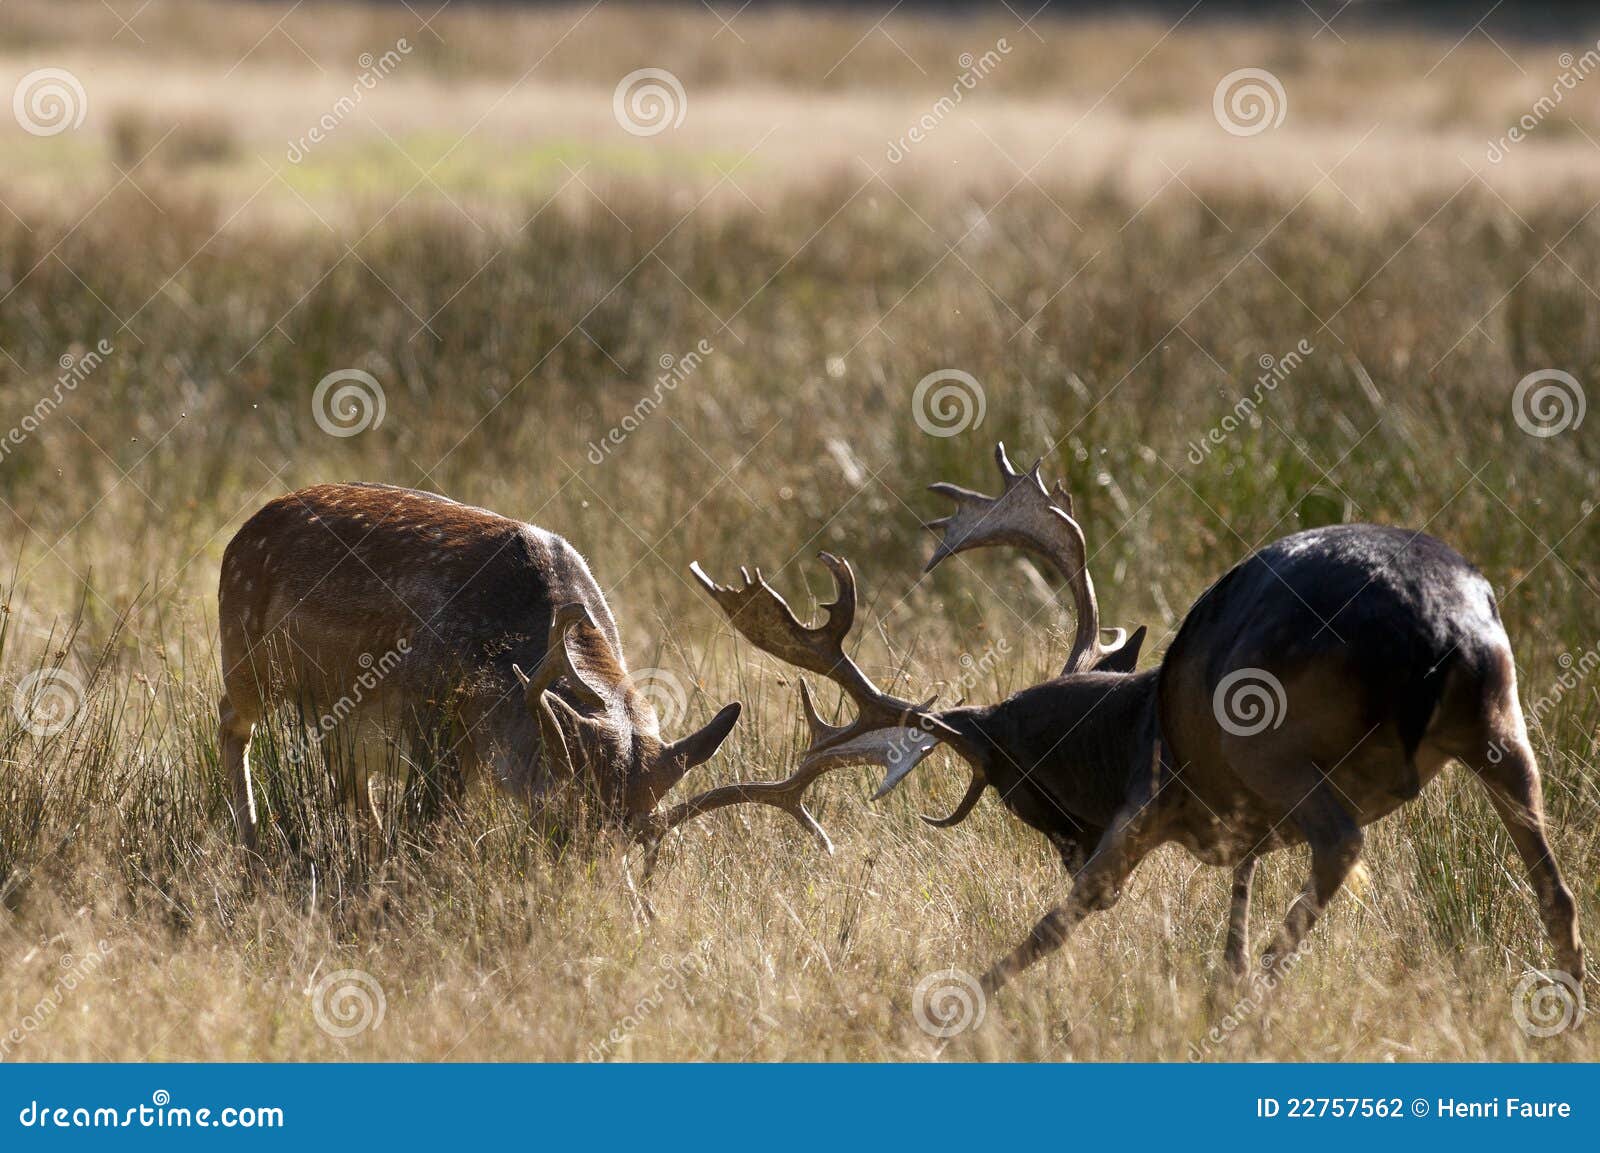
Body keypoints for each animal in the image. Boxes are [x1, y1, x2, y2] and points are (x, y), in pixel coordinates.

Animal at [217, 479, 742, 857]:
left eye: (637, 837)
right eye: (562, 818)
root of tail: (242, 531)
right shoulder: (428, 718)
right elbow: (427, 823)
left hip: (335, 713)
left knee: (346, 776)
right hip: (244, 650)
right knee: (231, 722)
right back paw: (254, 850)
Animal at [652, 444, 1587, 991]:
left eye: (1007, 780)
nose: (1065, 842)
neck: (1122, 727)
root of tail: (1437, 623)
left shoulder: (1152, 798)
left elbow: (1069, 915)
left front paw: (964, 996)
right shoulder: (1237, 824)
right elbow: (1235, 904)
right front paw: (1221, 974)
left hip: (1276, 742)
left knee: (1343, 843)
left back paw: (1259, 995)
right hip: (1504, 723)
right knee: (1556, 885)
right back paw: (1570, 1006)